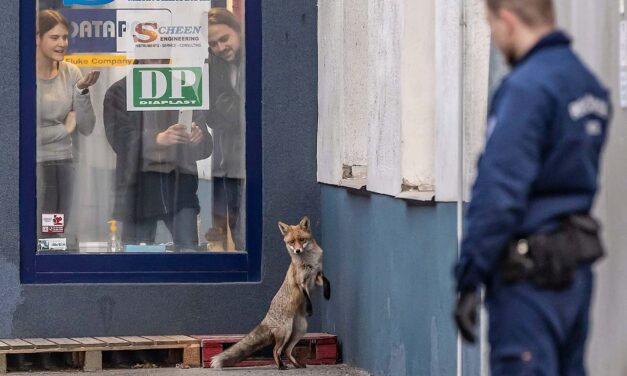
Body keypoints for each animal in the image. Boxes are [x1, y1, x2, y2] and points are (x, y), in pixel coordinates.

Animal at [210, 216, 332, 368]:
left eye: (302, 239)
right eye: (292, 242)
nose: (297, 251)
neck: (308, 261)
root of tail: (267, 318)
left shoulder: (316, 276)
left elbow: (327, 282)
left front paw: (328, 294)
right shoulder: (300, 282)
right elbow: (307, 297)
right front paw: (310, 309)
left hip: (299, 330)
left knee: (286, 350)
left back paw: (296, 365)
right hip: (286, 332)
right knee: (276, 350)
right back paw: (281, 366)